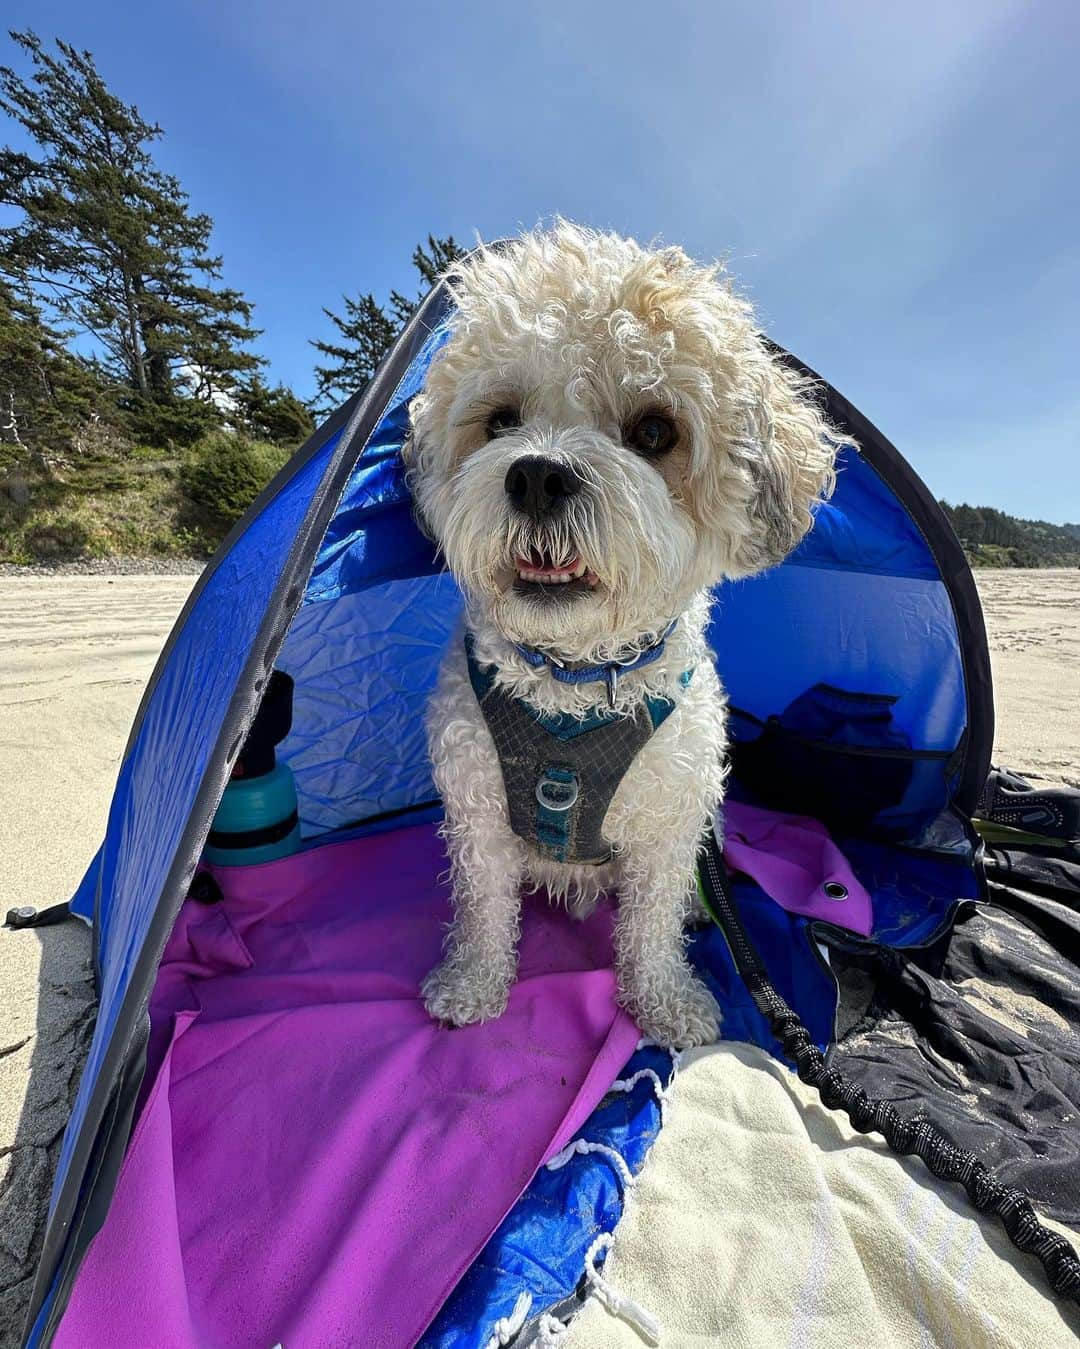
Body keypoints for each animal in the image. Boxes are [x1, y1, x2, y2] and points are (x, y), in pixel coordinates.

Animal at [404, 221, 835, 1046]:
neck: (572, 679)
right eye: (500, 420)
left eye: (655, 430)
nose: (538, 475)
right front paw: (472, 983)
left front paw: (664, 998)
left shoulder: (670, 818)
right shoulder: (477, 814)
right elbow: (482, 910)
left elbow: (652, 919)